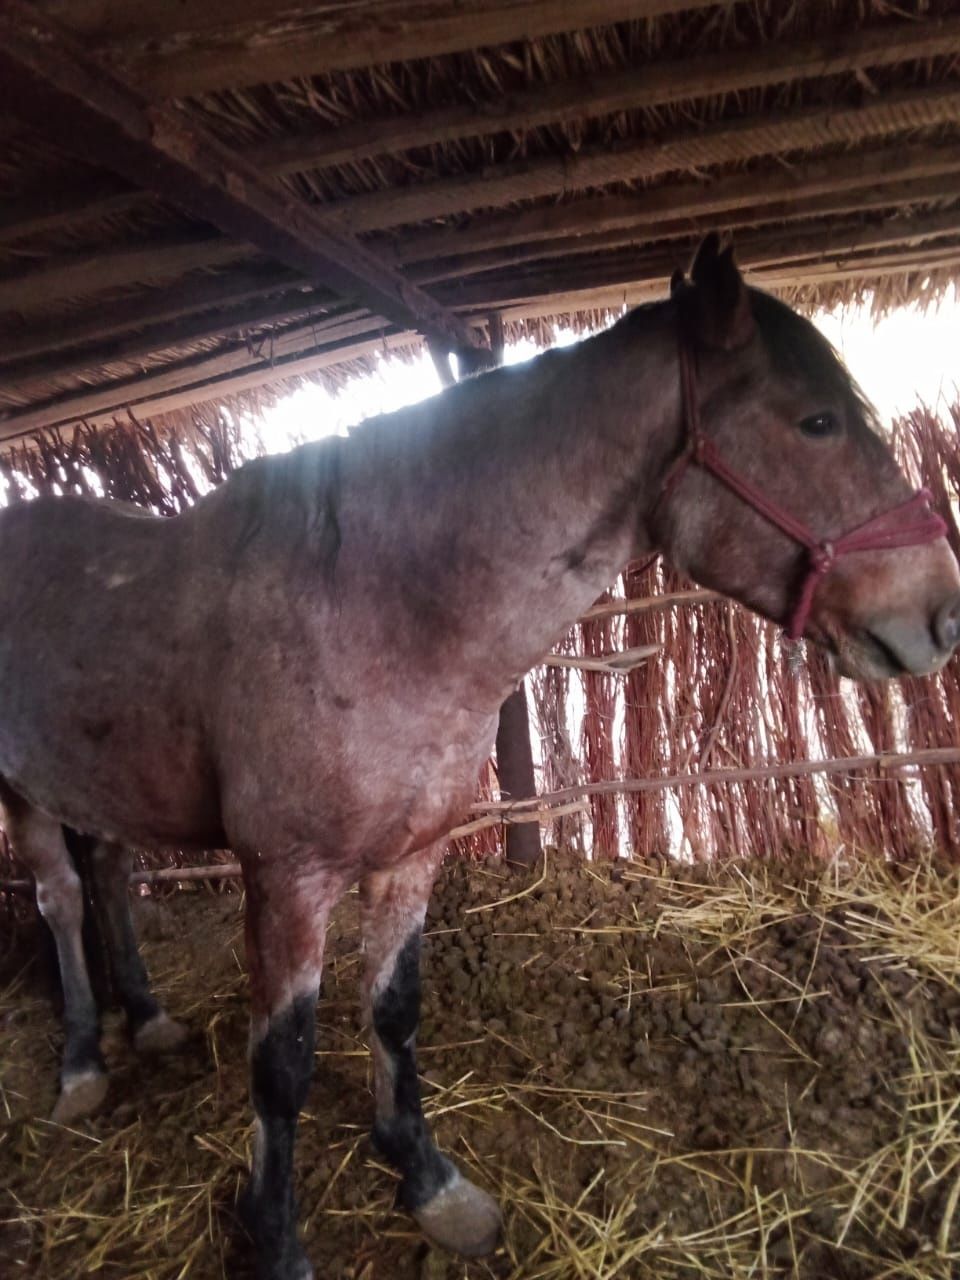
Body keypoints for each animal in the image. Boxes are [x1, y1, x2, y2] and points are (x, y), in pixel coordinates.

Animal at [1, 232, 960, 1280]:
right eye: (817, 421)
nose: (942, 612)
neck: (370, 605)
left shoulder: (414, 858)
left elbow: (395, 1011)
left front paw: (425, 1180)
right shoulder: (287, 879)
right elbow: (281, 1068)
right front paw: (276, 1236)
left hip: (94, 777)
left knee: (105, 874)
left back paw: (147, 1020)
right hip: (21, 791)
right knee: (58, 898)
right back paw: (82, 1063)